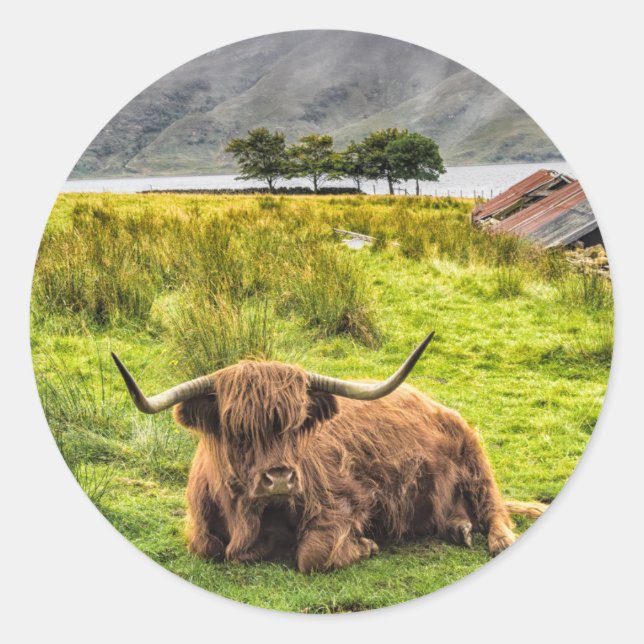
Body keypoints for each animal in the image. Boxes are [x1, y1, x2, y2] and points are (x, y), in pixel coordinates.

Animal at [112, 332, 546, 573]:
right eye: (238, 429)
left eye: (297, 424)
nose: (280, 478)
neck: (249, 516)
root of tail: (433, 403)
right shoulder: (202, 529)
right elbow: (207, 548)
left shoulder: (346, 502)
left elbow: (312, 556)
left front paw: (365, 546)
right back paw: (459, 528)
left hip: (474, 457)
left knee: (494, 507)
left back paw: (499, 541)